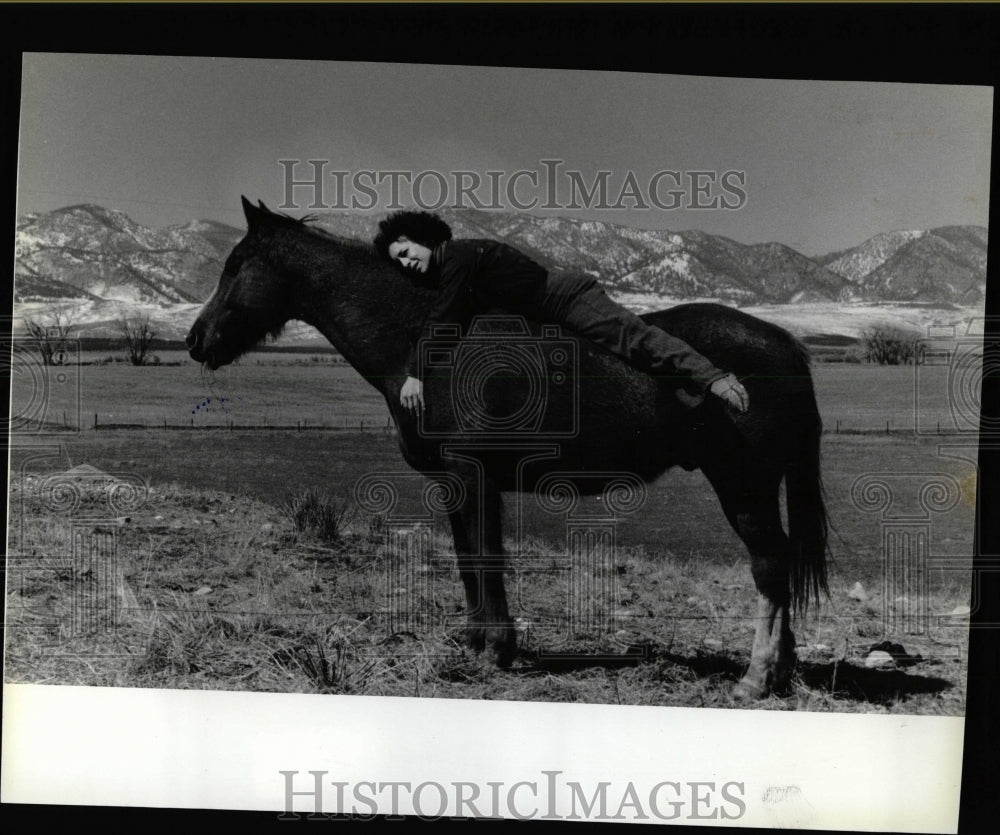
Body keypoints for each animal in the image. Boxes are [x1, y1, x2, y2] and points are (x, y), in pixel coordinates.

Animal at [188, 199, 828, 704]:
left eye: (235, 266)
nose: (195, 341)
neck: (427, 341)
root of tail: (786, 345)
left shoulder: (474, 476)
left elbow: (487, 557)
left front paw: (497, 648)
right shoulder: (454, 482)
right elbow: (468, 557)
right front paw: (475, 642)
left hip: (743, 485)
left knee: (770, 567)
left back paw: (754, 678)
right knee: (780, 567)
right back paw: (781, 673)